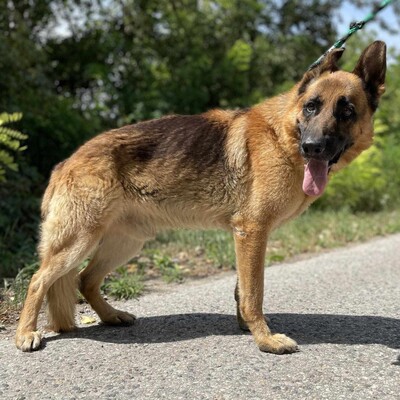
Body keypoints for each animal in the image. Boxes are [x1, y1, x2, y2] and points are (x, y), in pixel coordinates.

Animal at [16, 41, 388, 354]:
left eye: (346, 111)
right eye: (311, 107)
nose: (312, 147)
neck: (282, 136)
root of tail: (66, 162)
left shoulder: (247, 237)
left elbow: (243, 289)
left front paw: (247, 328)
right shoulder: (252, 232)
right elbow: (254, 292)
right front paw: (265, 339)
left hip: (126, 243)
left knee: (84, 280)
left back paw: (111, 316)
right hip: (79, 241)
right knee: (38, 279)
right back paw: (25, 334)